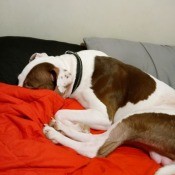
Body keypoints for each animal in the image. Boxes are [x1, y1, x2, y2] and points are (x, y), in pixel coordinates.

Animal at [18, 50, 175, 174]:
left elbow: (61, 112)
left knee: (94, 147)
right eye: (18, 80)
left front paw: (74, 126)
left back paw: (56, 132)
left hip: (138, 117)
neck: (78, 71)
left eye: (30, 86)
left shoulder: (104, 115)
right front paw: (80, 127)